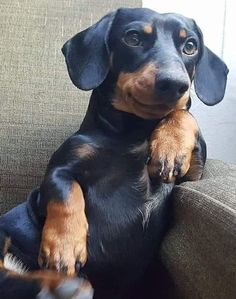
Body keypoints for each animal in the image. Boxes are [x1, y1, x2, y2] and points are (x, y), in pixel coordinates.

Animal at [0, 7, 228, 299]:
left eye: (190, 46)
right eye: (133, 38)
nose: (175, 84)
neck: (131, 133)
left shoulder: (192, 176)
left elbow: (183, 114)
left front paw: (170, 147)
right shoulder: (58, 170)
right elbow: (66, 195)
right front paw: (64, 248)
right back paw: (62, 285)